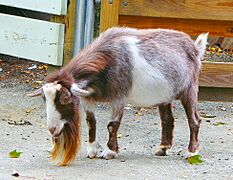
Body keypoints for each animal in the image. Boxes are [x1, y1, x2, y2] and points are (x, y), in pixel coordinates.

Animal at [28, 27, 208, 166]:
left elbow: (112, 125)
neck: (108, 60)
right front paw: (92, 150)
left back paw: (191, 152)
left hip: (190, 89)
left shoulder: (119, 98)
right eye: (45, 99)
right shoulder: (88, 99)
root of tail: (195, 48)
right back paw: (162, 148)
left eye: (65, 98)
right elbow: (91, 122)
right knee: (167, 120)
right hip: (164, 95)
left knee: (194, 120)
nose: (52, 129)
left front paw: (110, 152)